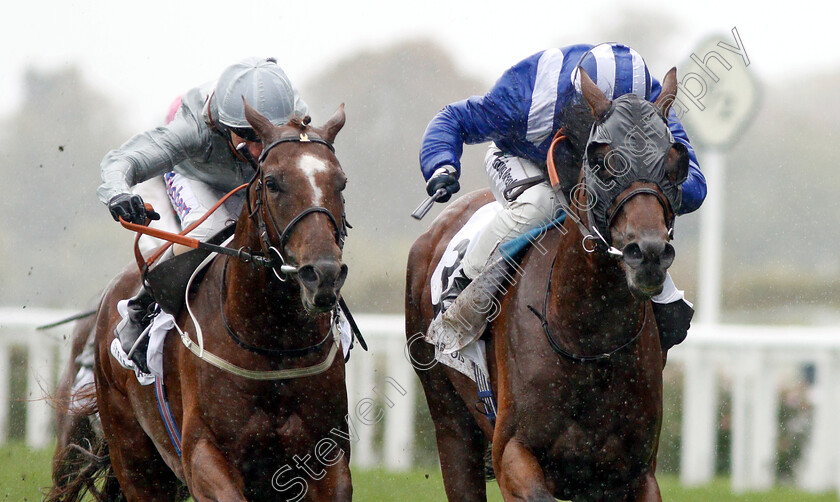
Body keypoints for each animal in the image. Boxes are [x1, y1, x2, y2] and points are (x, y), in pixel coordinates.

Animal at [47, 103, 352, 502]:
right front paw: (123, 202)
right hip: (133, 457)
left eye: (341, 183)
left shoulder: (326, 458)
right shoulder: (203, 453)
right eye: (272, 182)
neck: (272, 341)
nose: (323, 274)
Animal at [406, 67, 688, 502]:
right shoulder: (511, 451)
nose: (649, 254)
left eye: (676, 163)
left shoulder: (634, 474)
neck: (587, 338)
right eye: (603, 162)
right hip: (450, 423)